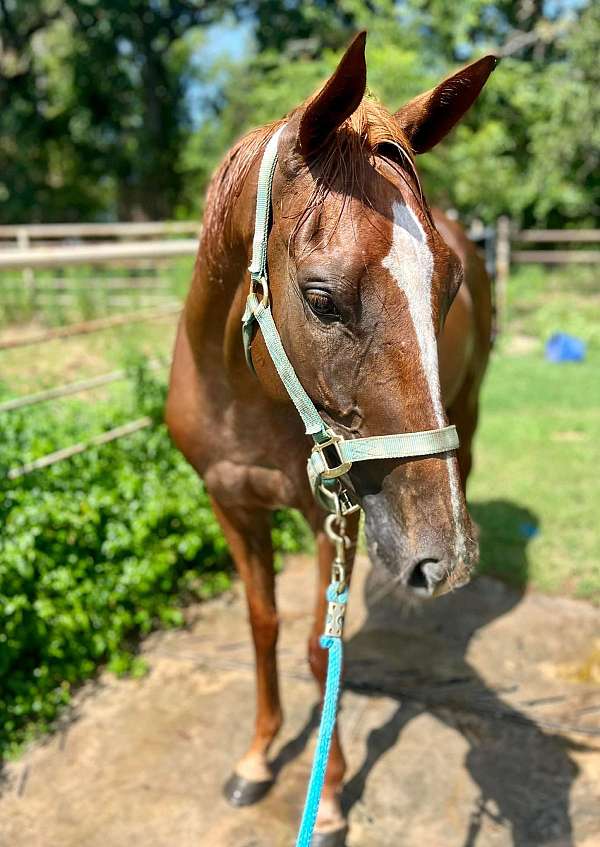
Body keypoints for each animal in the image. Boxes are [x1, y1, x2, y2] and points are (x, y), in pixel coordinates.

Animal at [166, 29, 494, 844]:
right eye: (320, 298)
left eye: (447, 286)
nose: (440, 557)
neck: (242, 395)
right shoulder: (230, 506)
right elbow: (264, 626)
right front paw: (257, 757)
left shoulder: (332, 516)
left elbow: (323, 651)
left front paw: (335, 791)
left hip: (468, 410)